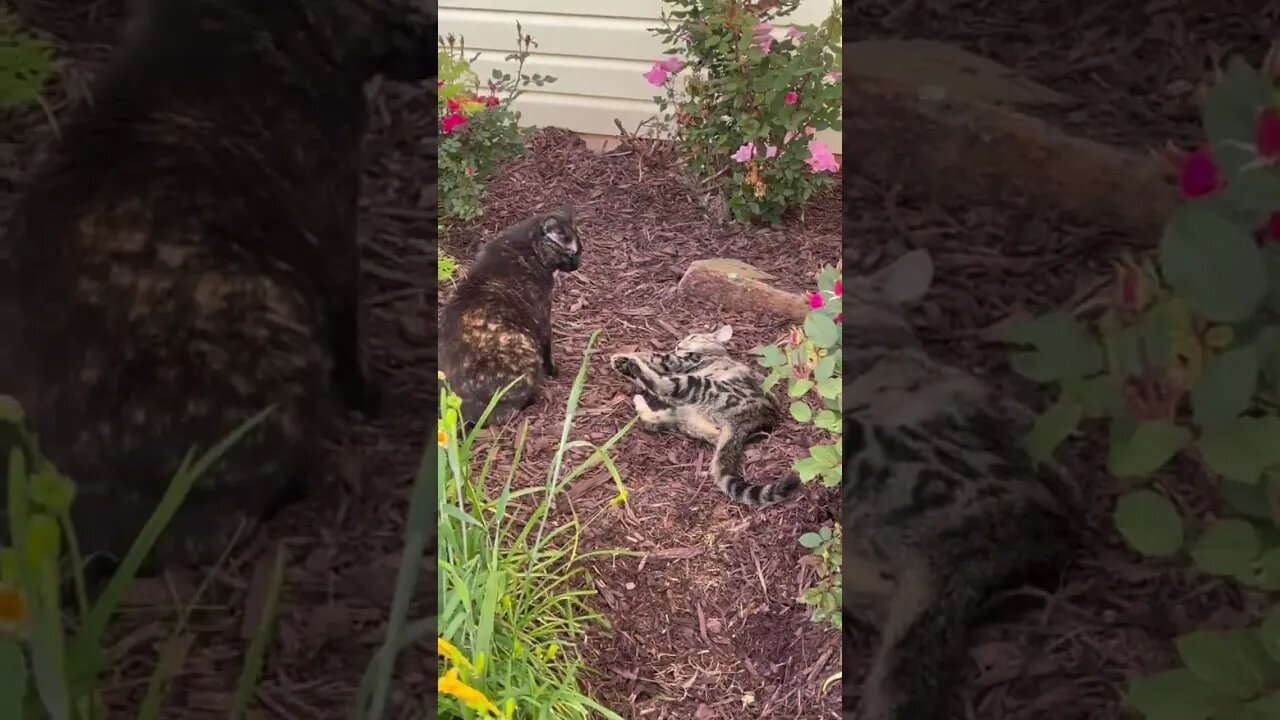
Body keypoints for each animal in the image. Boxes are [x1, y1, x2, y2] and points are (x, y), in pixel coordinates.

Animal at [437, 202, 583, 422]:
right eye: (571, 253)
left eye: (580, 251)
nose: (577, 264)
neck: (524, 248)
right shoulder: (542, 315)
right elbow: (547, 347)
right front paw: (553, 371)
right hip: (522, 347)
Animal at [606, 325, 798, 504]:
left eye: (693, 337)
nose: (679, 343)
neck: (713, 352)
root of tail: (750, 423)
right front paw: (622, 362)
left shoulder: (679, 361)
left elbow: (656, 356)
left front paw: (626, 358)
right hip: (684, 415)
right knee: (651, 419)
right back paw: (638, 396)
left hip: (701, 386)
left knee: (663, 385)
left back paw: (636, 366)